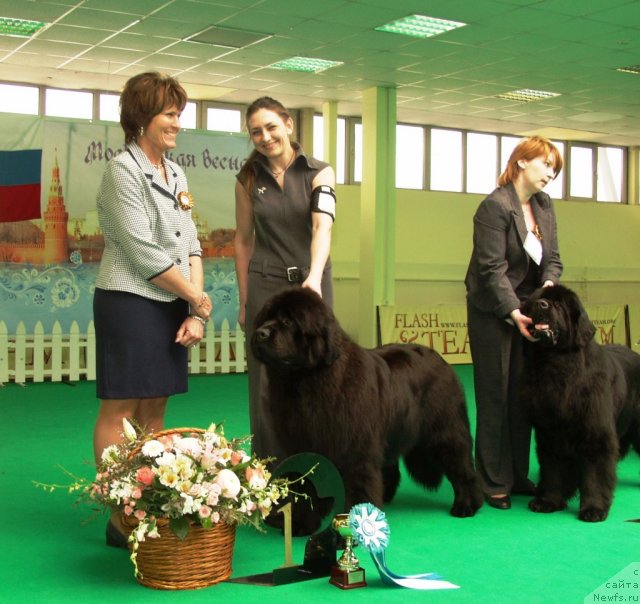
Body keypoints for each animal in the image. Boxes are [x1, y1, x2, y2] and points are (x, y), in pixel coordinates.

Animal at [250, 286, 480, 520]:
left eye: (288, 321)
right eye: (266, 318)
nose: (260, 333)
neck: (306, 379)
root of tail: (442, 361)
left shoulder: (355, 447)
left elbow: (357, 481)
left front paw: (356, 516)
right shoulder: (302, 440)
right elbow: (304, 480)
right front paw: (301, 517)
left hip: (446, 429)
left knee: (461, 465)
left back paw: (466, 505)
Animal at [520, 286, 640, 520]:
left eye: (559, 305)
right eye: (539, 299)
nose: (542, 305)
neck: (557, 363)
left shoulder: (595, 432)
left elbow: (595, 473)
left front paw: (594, 509)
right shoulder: (551, 433)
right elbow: (553, 469)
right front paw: (548, 501)